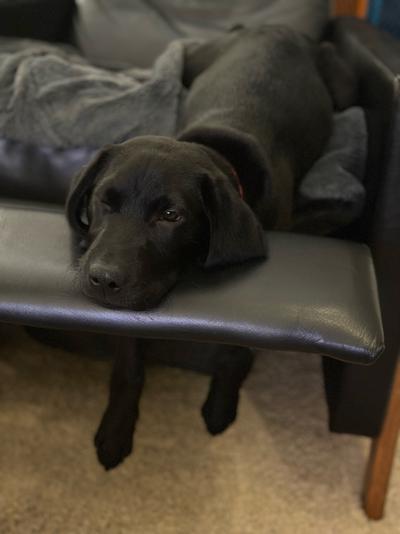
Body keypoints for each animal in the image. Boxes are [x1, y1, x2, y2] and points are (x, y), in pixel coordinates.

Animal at [66, 25, 356, 472]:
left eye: (171, 215)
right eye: (103, 201)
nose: (102, 279)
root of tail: (279, 28)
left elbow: (235, 353)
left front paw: (221, 408)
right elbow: (128, 369)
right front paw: (115, 432)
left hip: (342, 84)